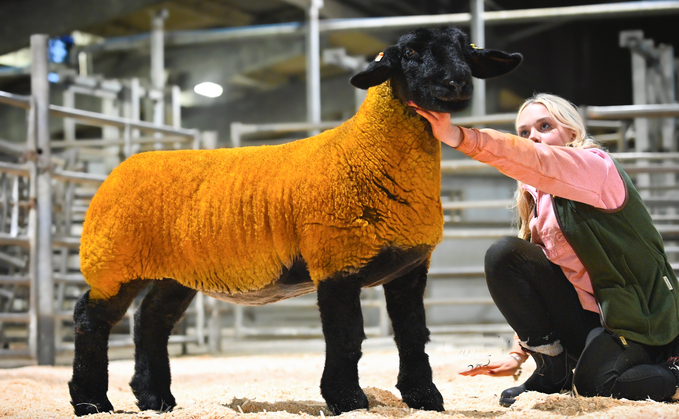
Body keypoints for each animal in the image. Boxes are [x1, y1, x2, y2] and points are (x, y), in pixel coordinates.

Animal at [68, 26, 522, 416]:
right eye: (409, 52)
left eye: (465, 50)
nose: (456, 83)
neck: (366, 151)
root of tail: (122, 166)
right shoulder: (336, 262)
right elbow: (346, 335)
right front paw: (347, 400)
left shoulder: (408, 267)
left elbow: (412, 334)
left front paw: (424, 397)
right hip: (112, 261)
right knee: (91, 318)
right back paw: (91, 401)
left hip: (173, 273)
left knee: (151, 322)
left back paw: (155, 399)